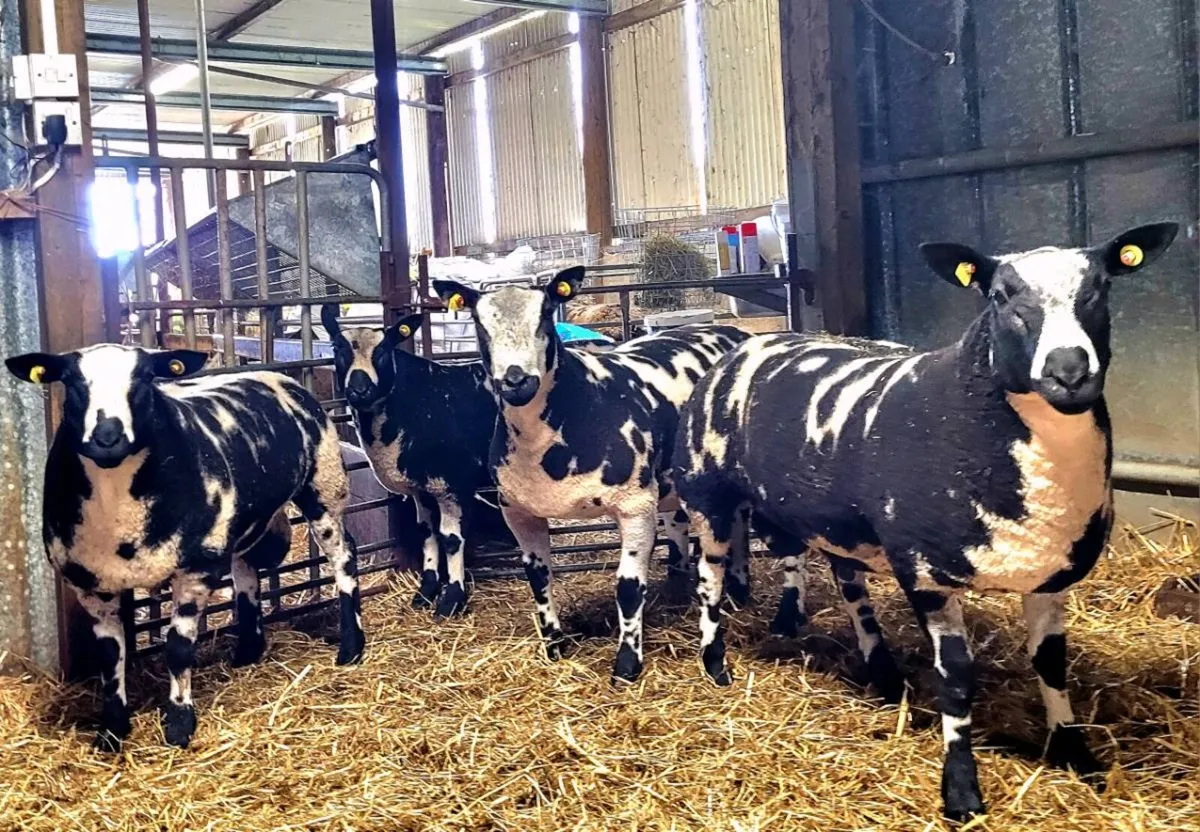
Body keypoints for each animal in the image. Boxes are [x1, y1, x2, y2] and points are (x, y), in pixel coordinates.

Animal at [4, 345, 365, 751]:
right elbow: (110, 657)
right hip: (242, 520)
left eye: (145, 378)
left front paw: (178, 724)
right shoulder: (90, 583)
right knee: (245, 572)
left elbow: (177, 649)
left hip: (324, 484)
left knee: (343, 557)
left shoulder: (196, 567)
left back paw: (351, 647)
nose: (107, 437)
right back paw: (248, 652)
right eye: (72, 382)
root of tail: (275, 375)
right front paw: (112, 731)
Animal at [320, 306, 497, 618]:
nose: (359, 389)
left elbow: (451, 539)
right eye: (337, 347)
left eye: (382, 350)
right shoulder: (421, 488)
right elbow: (426, 534)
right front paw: (426, 592)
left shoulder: (452, 485)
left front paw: (452, 600)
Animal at [432, 267, 750, 682]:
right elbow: (538, 579)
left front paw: (627, 664)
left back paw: (739, 591)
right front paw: (554, 646)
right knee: (680, 523)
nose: (516, 381)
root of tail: (732, 331)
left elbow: (629, 589)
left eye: (545, 315)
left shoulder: (634, 505)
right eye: (479, 323)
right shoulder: (517, 511)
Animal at [671, 223, 1179, 820]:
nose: (1070, 371)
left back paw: (883, 673)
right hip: (707, 490)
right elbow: (956, 679)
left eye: (1100, 288)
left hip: (844, 520)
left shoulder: (1050, 575)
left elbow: (1052, 663)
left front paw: (1076, 755)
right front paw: (961, 791)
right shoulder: (926, 570)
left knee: (849, 583)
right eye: (1001, 296)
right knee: (710, 581)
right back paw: (715, 665)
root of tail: (754, 341)